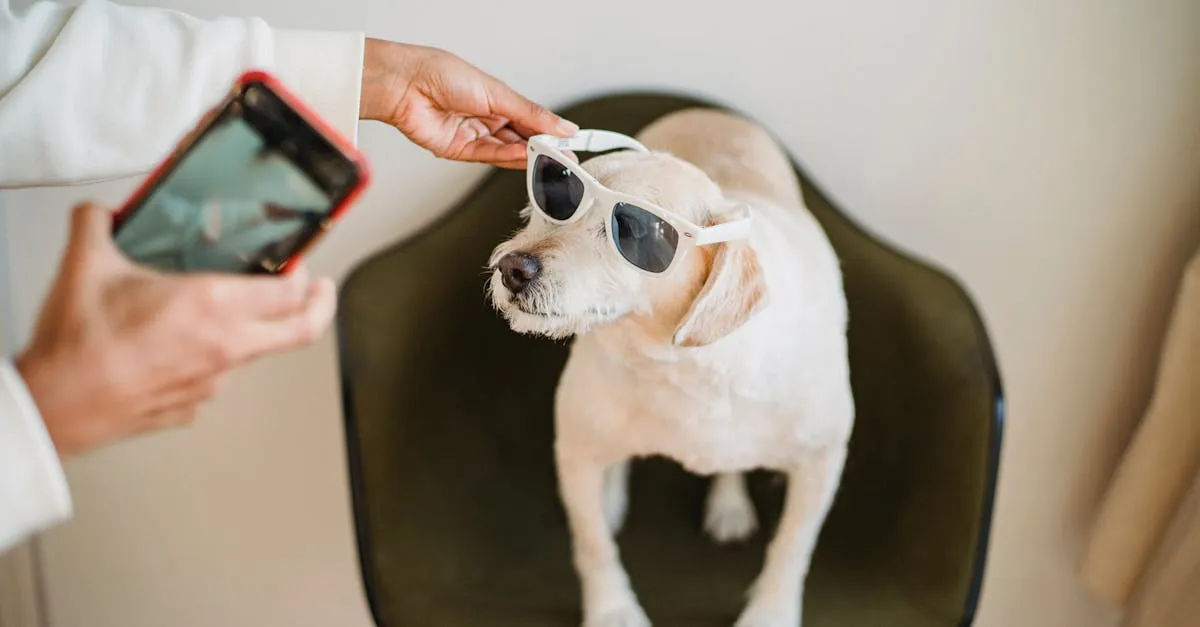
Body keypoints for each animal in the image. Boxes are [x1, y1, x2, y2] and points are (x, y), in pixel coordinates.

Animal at [487, 108, 854, 624]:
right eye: (555, 195)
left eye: (634, 232)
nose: (513, 269)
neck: (679, 364)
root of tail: (709, 111)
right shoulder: (575, 451)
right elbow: (592, 543)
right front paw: (612, 610)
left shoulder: (821, 463)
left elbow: (790, 549)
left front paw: (770, 613)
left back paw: (728, 503)